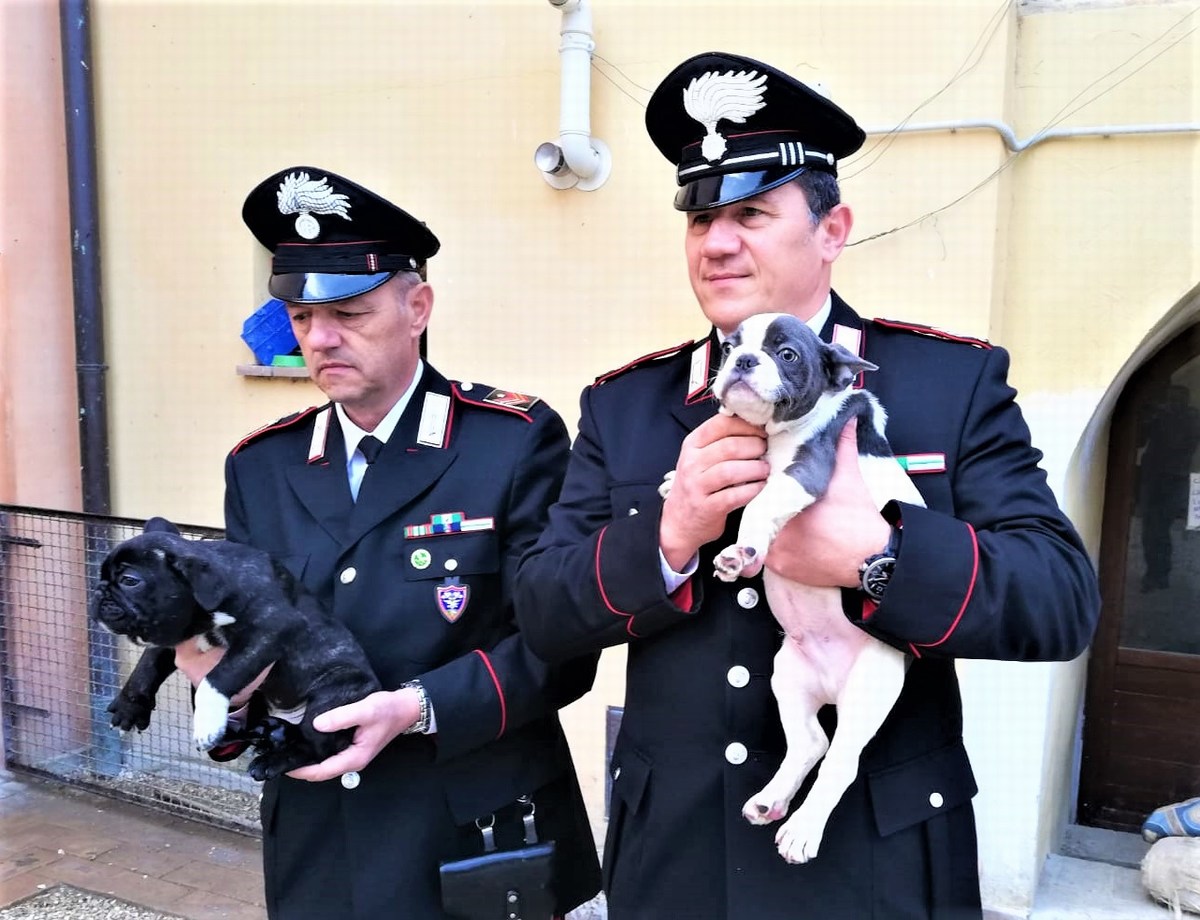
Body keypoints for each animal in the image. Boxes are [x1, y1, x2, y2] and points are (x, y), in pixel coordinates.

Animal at [89, 513, 379, 782]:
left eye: (129, 580)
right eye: (101, 576)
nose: (98, 591)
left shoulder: (269, 631)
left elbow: (218, 677)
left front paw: (206, 724)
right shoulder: (174, 636)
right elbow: (147, 666)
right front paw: (129, 707)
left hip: (333, 696)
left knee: (315, 745)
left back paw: (273, 759)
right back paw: (259, 732)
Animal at [710, 311, 926, 868]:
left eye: (786, 354)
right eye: (730, 347)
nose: (744, 361)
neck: (781, 433)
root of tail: (831, 686)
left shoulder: (807, 472)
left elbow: (760, 504)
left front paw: (742, 550)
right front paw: (676, 481)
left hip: (870, 689)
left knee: (841, 761)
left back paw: (803, 830)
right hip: (788, 674)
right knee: (810, 742)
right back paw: (770, 800)